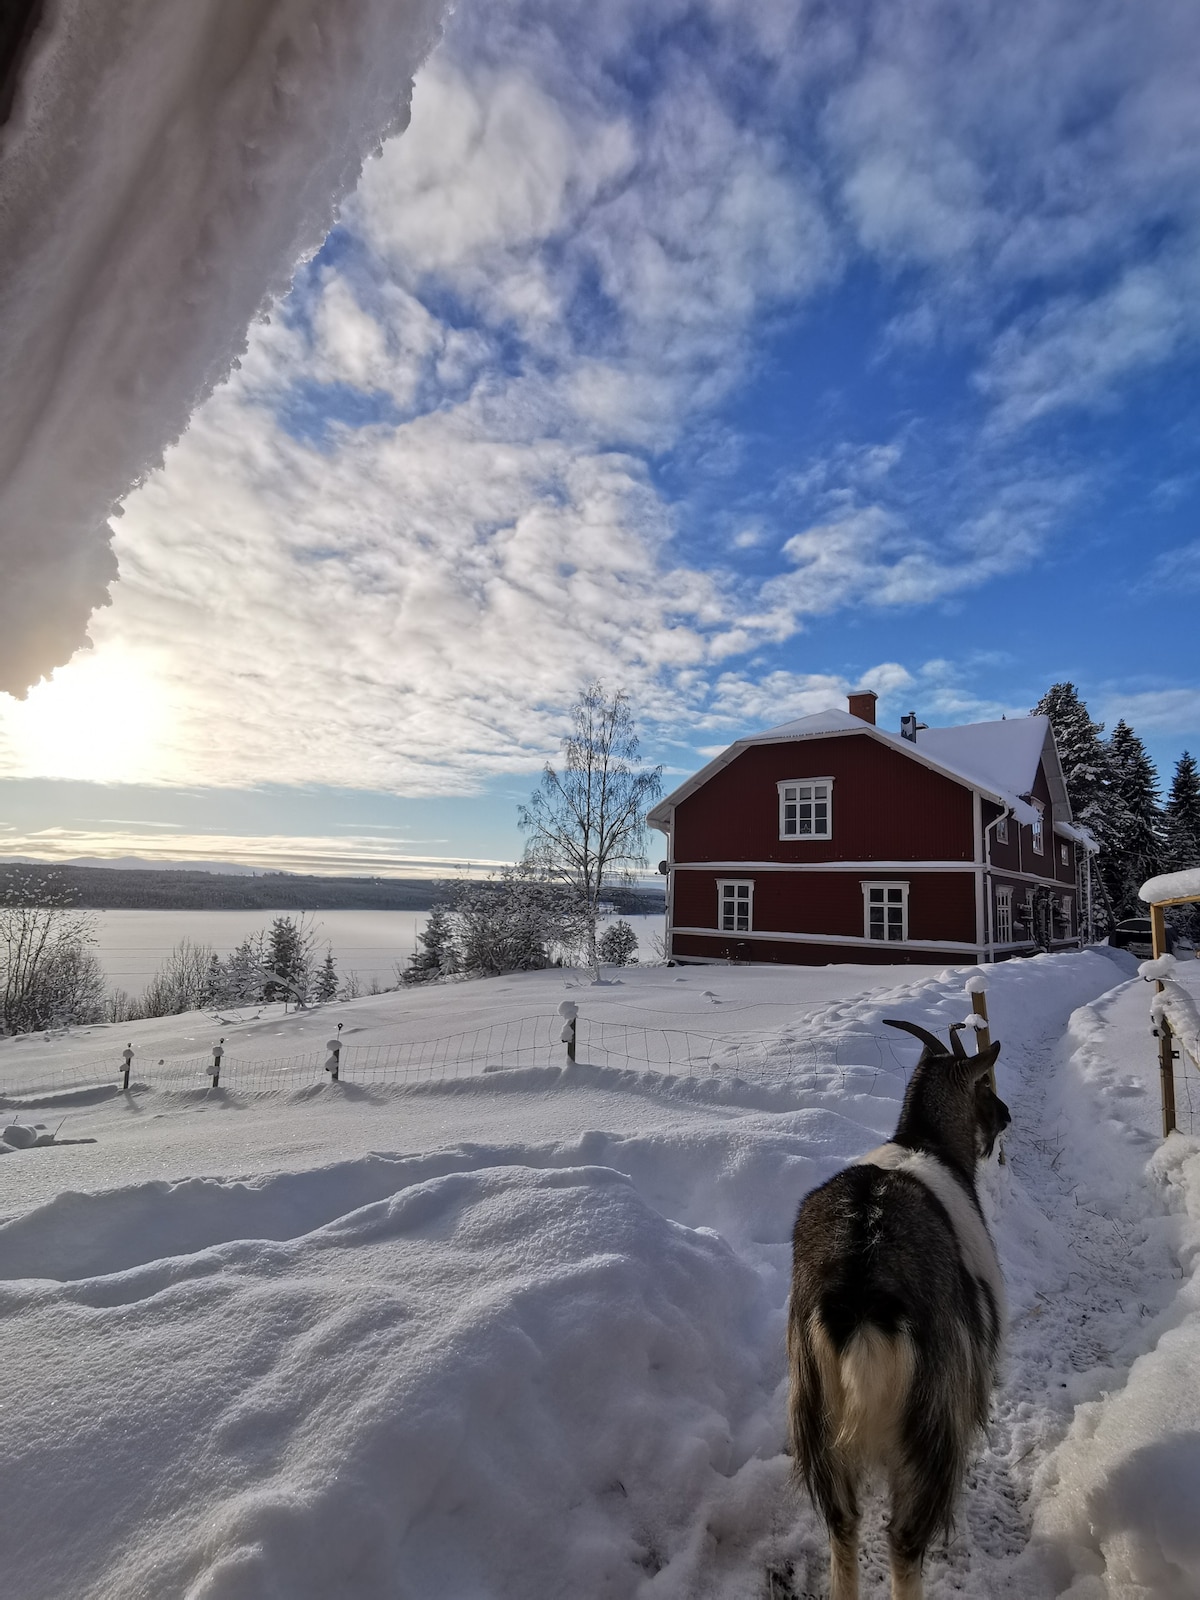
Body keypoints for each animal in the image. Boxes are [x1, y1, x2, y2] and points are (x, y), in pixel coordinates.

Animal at [793, 1017, 1011, 1593]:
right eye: (984, 1087)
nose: (1007, 1116)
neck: (925, 1143)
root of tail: (863, 1292)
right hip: (931, 1419)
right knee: (904, 1541)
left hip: (815, 1413)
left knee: (842, 1525)